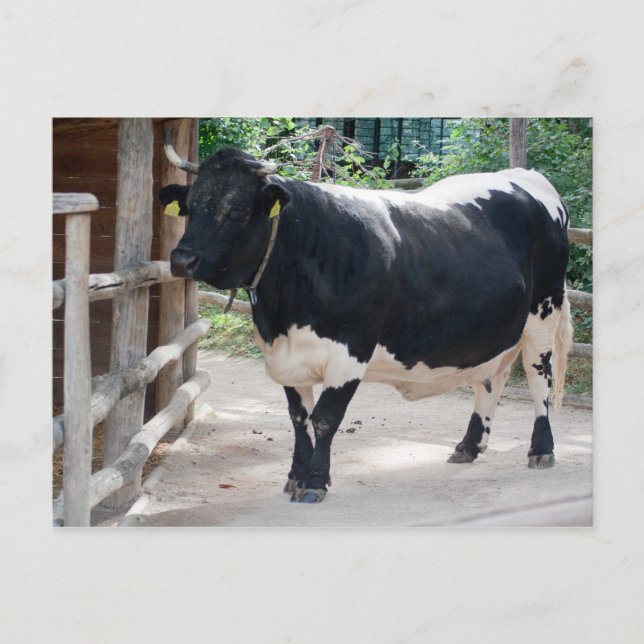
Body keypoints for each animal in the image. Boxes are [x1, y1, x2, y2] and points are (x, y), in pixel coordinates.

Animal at [159, 144, 573, 504]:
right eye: (190, 206)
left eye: (238, 209)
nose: (182, 259)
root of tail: (523, 175)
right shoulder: (288, 357)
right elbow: (298, 418)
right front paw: (295, 475)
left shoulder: (350, 351)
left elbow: (326, 419)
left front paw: (314, 482)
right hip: (499, 328)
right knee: (493, 378)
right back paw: (470, 445)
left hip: (544, 309)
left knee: (539, 376)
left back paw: (541, 449)